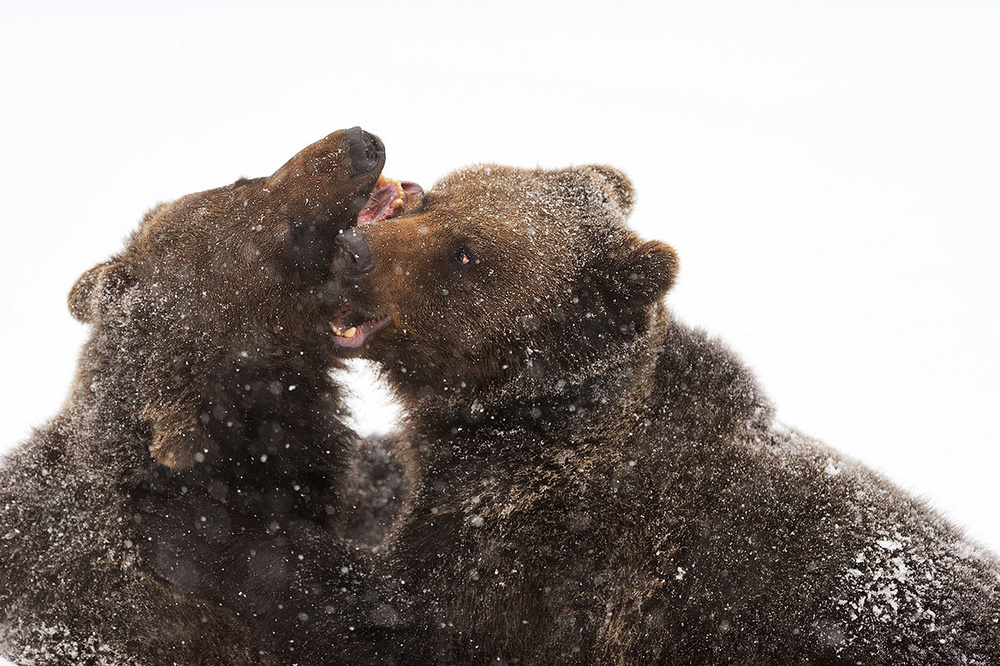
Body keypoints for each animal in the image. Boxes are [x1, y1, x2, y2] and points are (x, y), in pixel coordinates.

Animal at [137, 162, 996, 664]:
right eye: (434, 196)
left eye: (469, 255)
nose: (352, 252)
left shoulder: (560, 568)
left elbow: (393, 613)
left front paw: (195, 522)